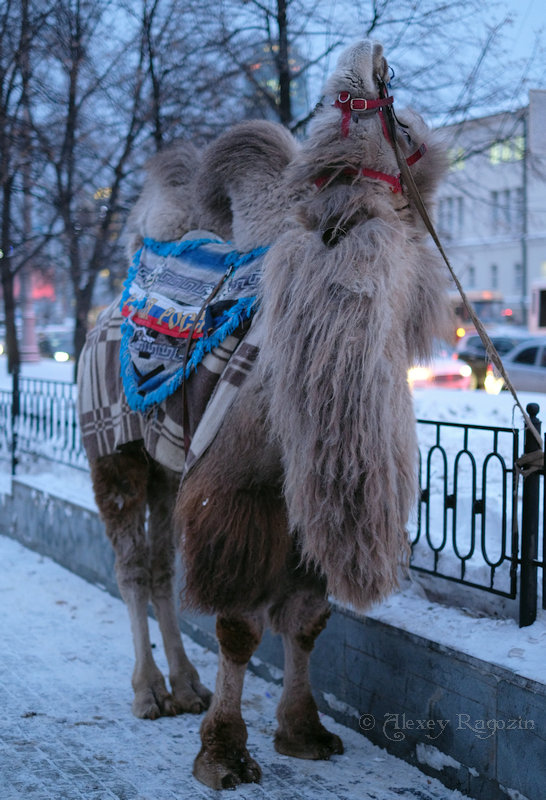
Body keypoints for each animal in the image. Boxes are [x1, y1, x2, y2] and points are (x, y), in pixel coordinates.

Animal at [77, 40, 450, 792]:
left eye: (397, 121)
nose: (370, 58)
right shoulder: (238, 493)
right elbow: (240, 628)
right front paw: (222, 755)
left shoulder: (300, 498)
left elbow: (305, 620)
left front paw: (305, 733)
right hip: (115, 448)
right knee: (130, 564)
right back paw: (150, 693)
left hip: (167, 466)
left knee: (160, 565)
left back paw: (185, 687)